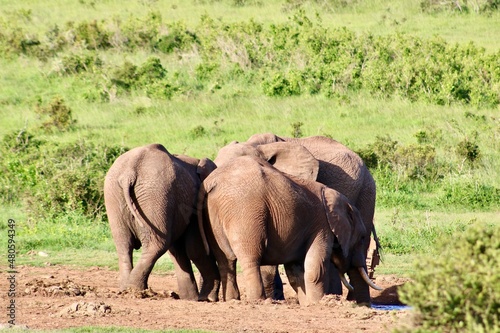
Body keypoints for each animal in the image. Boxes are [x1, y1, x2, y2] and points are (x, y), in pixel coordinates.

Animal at [103, 143, 219, 300]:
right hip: (155, 193)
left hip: (116, 195)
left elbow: (178, 251)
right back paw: (136, 291)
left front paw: (191, 298)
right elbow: (195, 248)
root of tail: (128, 173)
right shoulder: (194, 203)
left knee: (123, 244)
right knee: (158, 244)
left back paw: (126, 290)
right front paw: (204, 299)